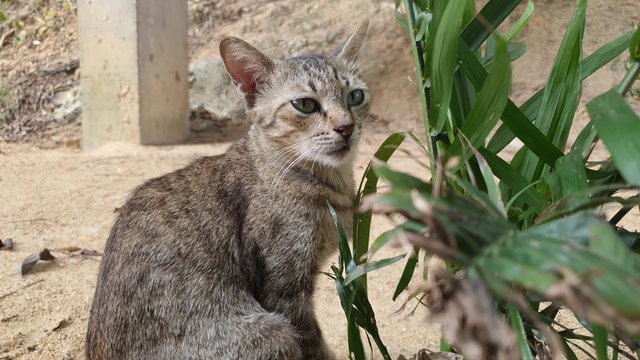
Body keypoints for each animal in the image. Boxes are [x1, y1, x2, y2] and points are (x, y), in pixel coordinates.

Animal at [84, 21, 370, 358]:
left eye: (355, 96)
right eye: (304, 104)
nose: (346, 127)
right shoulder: (283, 289)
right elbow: (314, 345)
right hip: (272, 333)